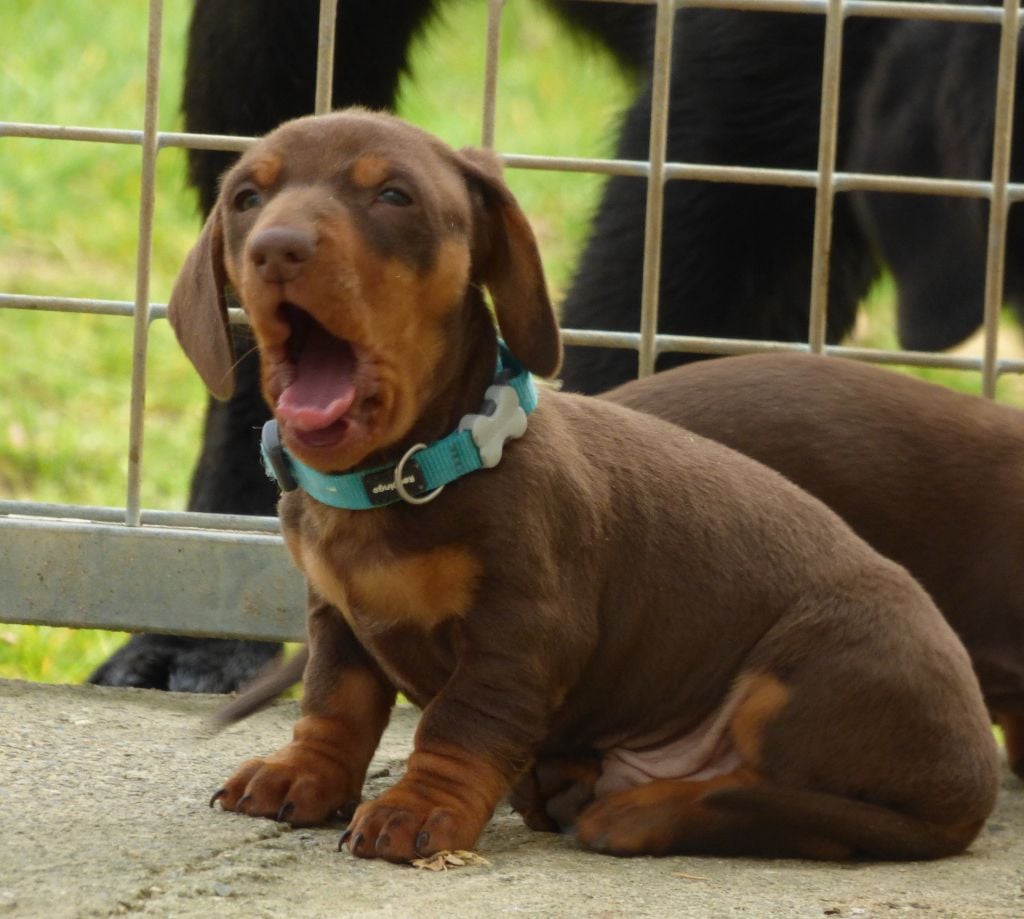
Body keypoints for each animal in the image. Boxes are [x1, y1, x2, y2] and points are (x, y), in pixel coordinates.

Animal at [167, 109, 997, 862]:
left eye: (393, 195)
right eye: (248, 197)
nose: (277, 249)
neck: (411, 472)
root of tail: (974, 788)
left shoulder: (521, 631)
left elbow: (460, 724)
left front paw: (418, 808)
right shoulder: (339, 615)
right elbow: (334, 703)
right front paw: (301, 773)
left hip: (811, 667)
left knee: (791, 801)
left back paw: (641, 810)